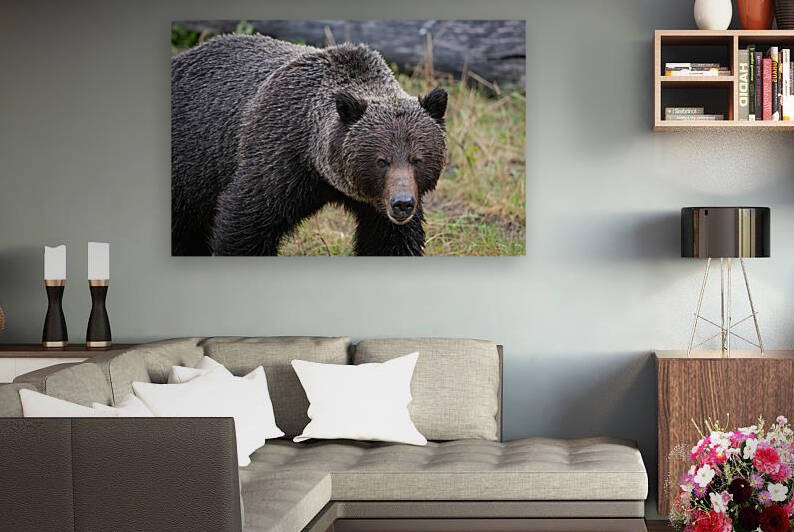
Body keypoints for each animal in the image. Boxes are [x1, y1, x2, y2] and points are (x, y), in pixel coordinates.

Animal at [171, 34, 448, 256]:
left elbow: (391, 242)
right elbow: (245, 223)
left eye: (416, 159)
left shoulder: (379, 205)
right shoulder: (277, 161)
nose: (402, 203)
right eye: (382, 161)